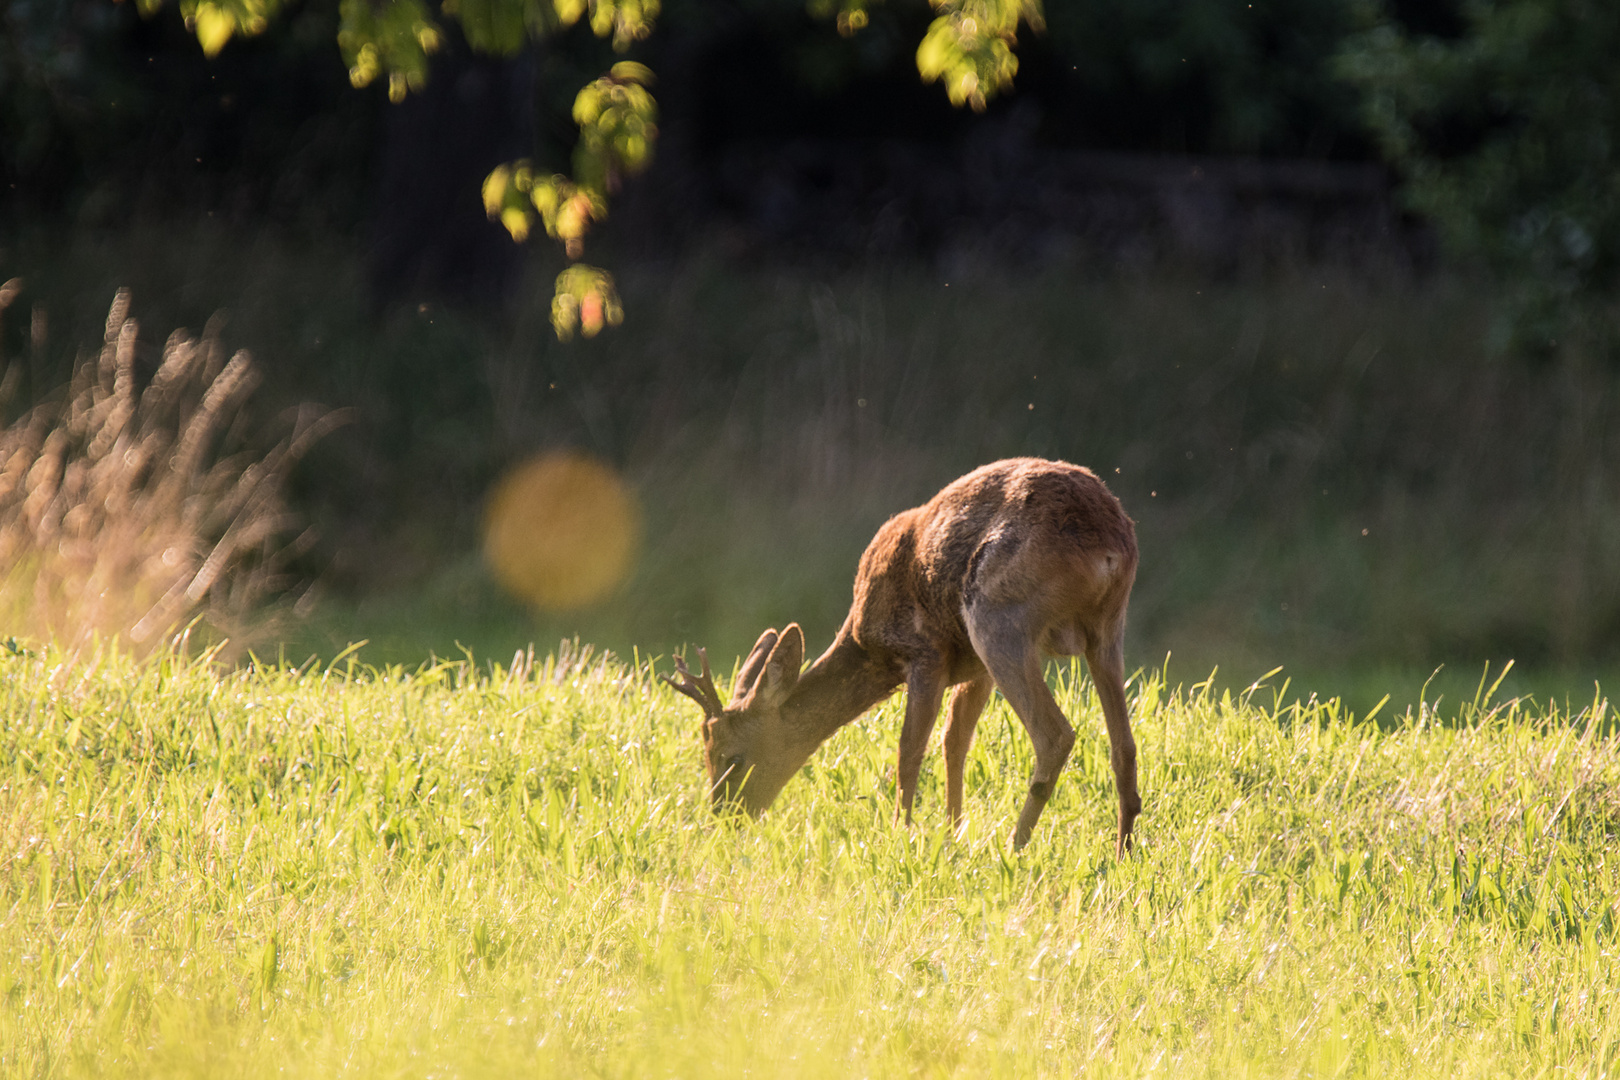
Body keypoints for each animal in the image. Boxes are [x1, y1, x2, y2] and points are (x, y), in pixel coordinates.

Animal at [657, 456, 1140, 854]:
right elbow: (953, 741)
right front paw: (952, 832)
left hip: (998, 616)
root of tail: (1110, 547)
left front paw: (900, 832)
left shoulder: (925, 653)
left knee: (1054, 734)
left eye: (732, 758)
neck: (866, 644)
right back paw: (1123, 851)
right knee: (1123, 746)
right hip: (1106, 629)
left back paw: (1015, 845)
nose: (725, 818)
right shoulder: (973, 667)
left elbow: (909, 751)